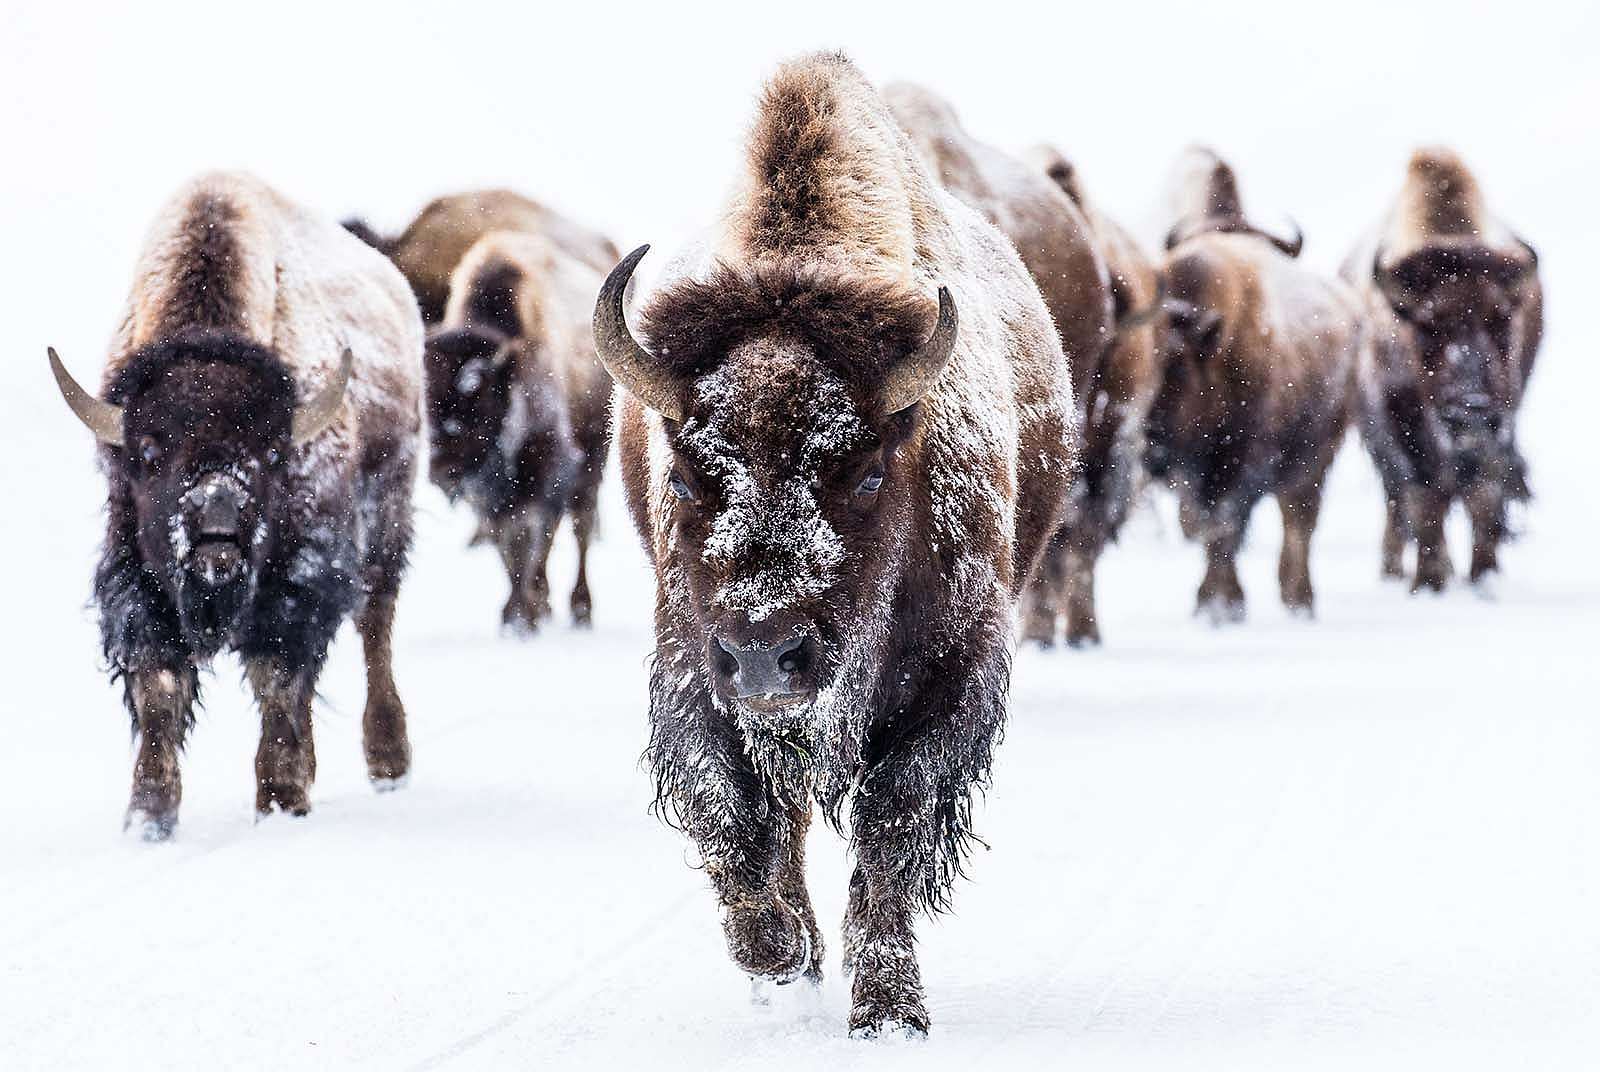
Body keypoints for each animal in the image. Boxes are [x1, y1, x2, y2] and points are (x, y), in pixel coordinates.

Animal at [49, 172, 423, 836]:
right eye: (149, 452)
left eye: (272, 452)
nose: (216, 526)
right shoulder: (137, 581)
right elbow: (159, 685)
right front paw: (148, 816)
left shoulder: (298, 581)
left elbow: (277, 678)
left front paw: (280, 799)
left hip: (387, 521)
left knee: (375, 627)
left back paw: (388, 764)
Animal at [600, 53, 1077, 1037]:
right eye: (683, 476)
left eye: (863, 474)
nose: (766, 656)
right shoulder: (693, 672)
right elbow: (731, 812)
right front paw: (779, 958)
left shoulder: (951, 680)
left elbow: (893, 826)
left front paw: (889, 1013)